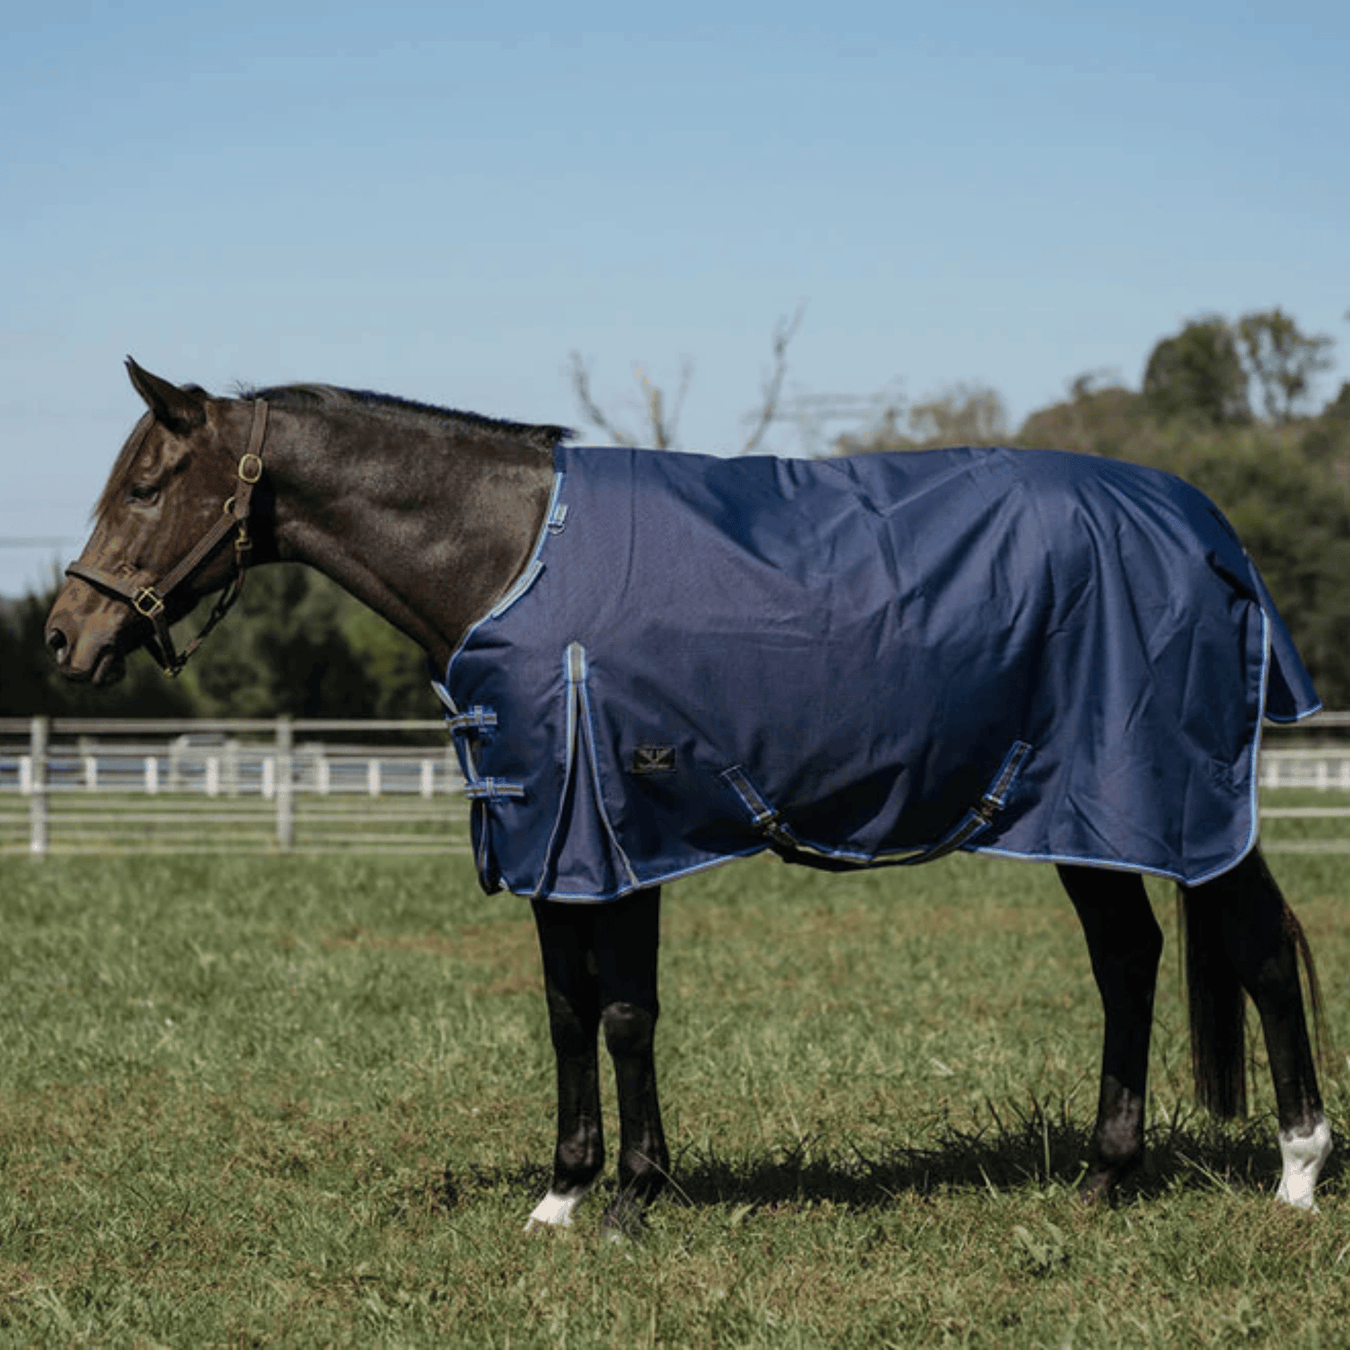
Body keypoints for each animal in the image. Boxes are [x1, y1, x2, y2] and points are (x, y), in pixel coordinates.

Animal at [46, 359, 1333, 1234]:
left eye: (150, 483)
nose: (65, 635)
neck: (516, 555)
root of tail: (1205, 531)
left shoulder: (620, 834)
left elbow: (623, 1013)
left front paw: (631, 1198)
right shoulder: (552, 844)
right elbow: (568, 1011)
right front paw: (563, 1197)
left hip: (1170, 798)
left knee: (1260, 951)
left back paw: (1298, 1173)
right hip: (1083, 814)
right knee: (1129, 960)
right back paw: (1107, 1175)